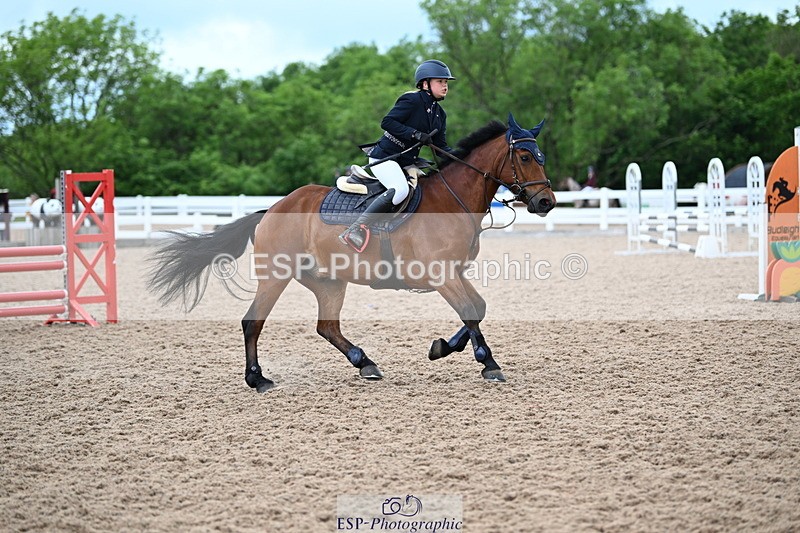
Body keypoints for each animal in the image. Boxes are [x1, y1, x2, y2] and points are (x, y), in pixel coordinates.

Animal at [148, 113, 556, 392]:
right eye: (524, 157)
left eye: (541, 156)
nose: (546, 202)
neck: (452, 201)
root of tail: (272, 209)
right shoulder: (441, 275)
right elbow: (472, 312)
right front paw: (489, 364)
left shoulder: (453, 273)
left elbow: (478, 309)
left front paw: (441, 348)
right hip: (276, 276)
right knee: (254, 322)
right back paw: (258, 379)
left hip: (328, 281)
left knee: (327, 326)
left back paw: (365, 363)